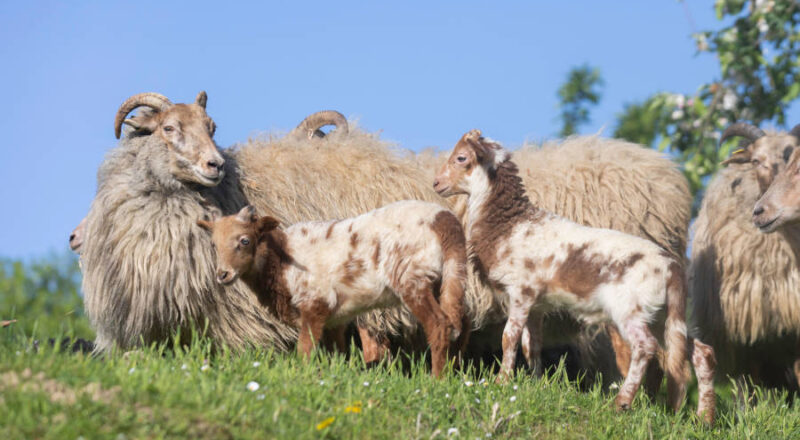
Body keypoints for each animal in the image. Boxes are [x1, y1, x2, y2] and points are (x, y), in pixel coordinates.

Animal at [198, 202, 467, 376]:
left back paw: (436, 380)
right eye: (213, 245)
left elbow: (305, 349)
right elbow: (337, 353)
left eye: (245, 241)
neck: (280, 259)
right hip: (448, 277)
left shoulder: (314, 302)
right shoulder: (336, 317)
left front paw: (302, 375)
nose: (222, 275)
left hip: (412, 276)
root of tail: (444, 220)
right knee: (458, 326)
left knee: (439, 324)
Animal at [434, 129, 716, 422]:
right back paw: (705, 418)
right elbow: (531, 345)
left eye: (461, 158)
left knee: (645, 347)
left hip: (631, 309)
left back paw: (622, 402)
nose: (436, 183)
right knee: (700, 352)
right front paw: (535, 384)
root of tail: (671, 267)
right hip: (664, 315)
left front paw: (501, 381)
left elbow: (509, 338)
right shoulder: (536, 304)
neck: (509, 224)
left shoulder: (521, 292)